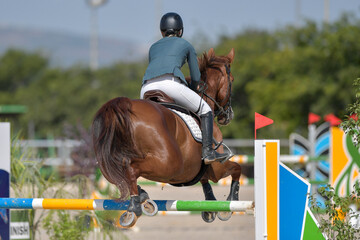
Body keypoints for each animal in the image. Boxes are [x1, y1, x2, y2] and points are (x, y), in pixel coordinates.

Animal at [90, 48, 242, 227]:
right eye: (231, 80)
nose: (228, 116)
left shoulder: (197, 171)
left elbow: (205, 180)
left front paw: (210, 206)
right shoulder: (217, 168)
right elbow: (237, 168)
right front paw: (231, 202)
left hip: (112, 162)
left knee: (121, 172)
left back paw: (142, 198)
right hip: (169, 164)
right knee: (130, 168)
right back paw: (135, 206)